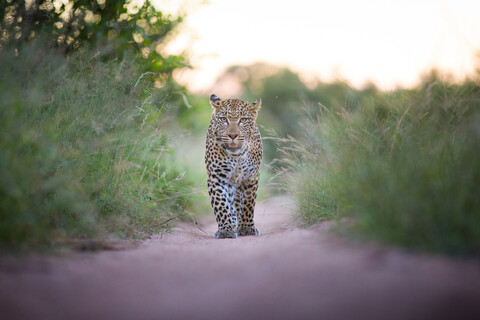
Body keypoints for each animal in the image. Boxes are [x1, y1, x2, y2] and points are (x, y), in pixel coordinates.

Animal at [203, 92, 262, 238]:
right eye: (224, 119)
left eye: (243, 119)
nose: (233, 135)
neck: (237, 156)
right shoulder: (217, 177)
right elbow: (221, 204)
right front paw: (226, 230)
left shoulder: (250, 177)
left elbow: (248, 204)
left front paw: (247, 228)